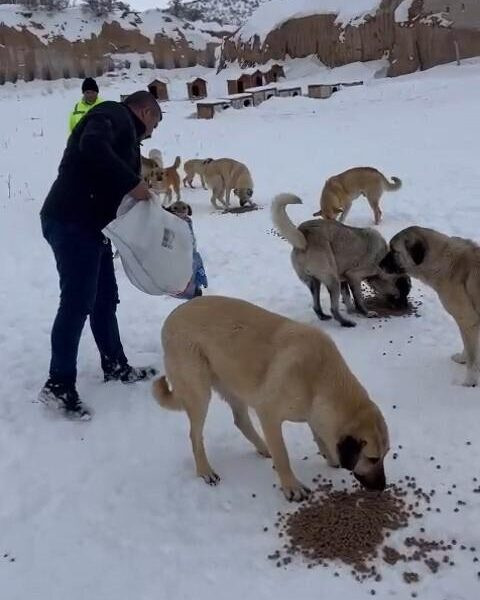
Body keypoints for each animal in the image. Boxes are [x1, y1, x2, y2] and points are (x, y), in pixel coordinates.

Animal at [154, 296, 390, 502]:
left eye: (385, 455)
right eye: (372, 458)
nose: (382, 487)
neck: (320, 379)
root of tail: (172, 316)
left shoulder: (313, 413)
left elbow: (319, 436)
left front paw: (330, 458)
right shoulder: (269, 415)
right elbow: (283, 456)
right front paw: (291, 487)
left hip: (234, 384)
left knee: (241, 421)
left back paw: (264, 448)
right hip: (200, 393)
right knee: (195, 436)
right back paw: (205, 470)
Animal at [272, 195, 410, 328]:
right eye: (403, 293)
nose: (405, 306)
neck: (384, 261)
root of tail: (304, 236)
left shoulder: (344, 280)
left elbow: (347, 297)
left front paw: (351, 311)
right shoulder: (354, 276)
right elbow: (358, 300)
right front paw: (365, 313)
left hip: (315, 282)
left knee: (316, 306)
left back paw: (323, 316)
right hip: (333, 282)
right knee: (333, 309)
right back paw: (346, 323)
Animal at [384, 226, 480, 390]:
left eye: (394, 250)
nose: (379, 263)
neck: (444, 261)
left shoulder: (468, 322)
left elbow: (470, 352)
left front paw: (470, 380)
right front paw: (463, 359)